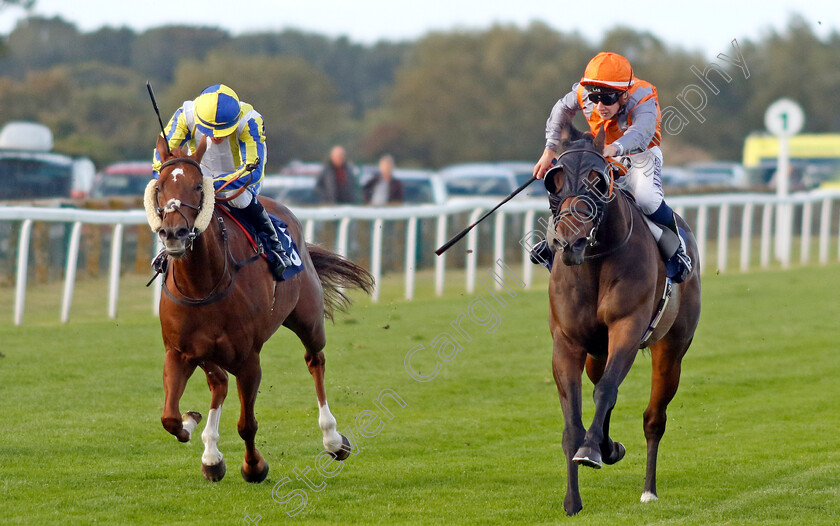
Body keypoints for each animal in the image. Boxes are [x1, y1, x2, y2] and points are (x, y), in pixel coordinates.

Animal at [147, 137, 374, 486]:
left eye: (198, 185)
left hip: (308, 321)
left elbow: (247, 424)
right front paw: (192, 424)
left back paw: (333, 439)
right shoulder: (179, 352)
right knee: (219, 383)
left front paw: (254, 466)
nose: (174, 234)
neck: (202, 285)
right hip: (207, 353)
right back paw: (211, 455)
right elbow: (169, 418)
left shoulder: (248, 358)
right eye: (159, 187)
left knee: (315, 362)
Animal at [544, 127, 704, 516]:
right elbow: (573, 421)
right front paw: (572, 499)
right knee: (603, 385)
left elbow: (606, 392)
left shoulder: (627, 329)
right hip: (595, 354)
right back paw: (608, 446)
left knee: (653, 417)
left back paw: (648, 489)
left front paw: (592, 451)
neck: (594, 263)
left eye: (598, 181)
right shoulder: (567, 343)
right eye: (554, 181)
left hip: (671, 350)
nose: (569, 241)